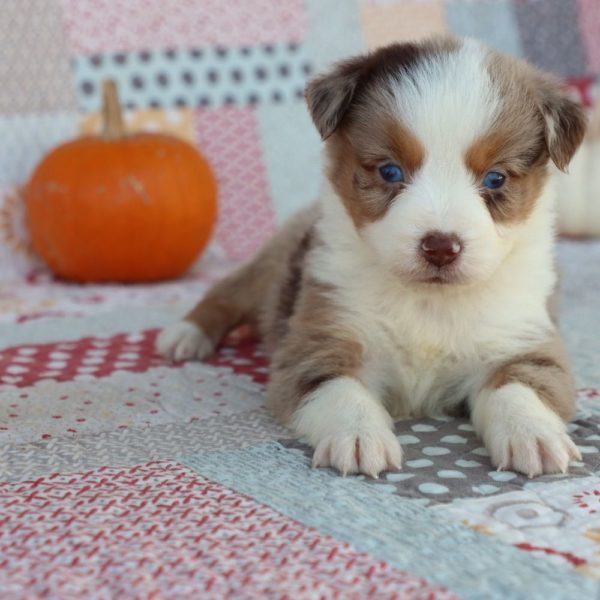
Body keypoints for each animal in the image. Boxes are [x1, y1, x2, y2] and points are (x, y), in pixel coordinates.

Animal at [156, 36, 584, 478]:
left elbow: (516, 387)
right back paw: (186, 335)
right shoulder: (323, 338)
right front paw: (359, 437)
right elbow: (341, 389)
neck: (428, 299)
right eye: (390, 172)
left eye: (495, 179)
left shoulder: (521, 338)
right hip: (271, 266)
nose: (440, 247)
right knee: (227, 291)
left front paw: (534, 434)